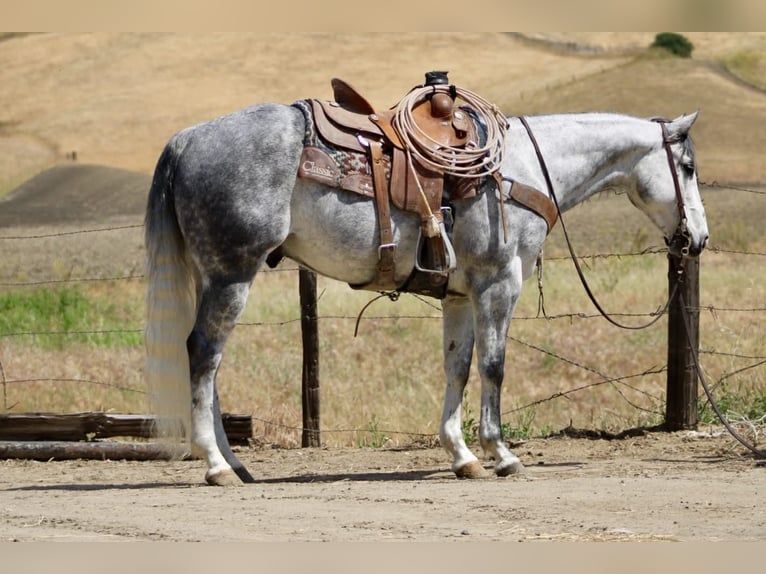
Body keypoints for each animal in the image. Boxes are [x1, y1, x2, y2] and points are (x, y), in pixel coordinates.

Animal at [144, 100, 709, 486]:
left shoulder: (459, 296)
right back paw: (216, 466)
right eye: (687, 168)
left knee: (209, 363)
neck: (520, 170)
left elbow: (457, 367)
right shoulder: (499, 284)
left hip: (214, 276)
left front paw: (463, 456)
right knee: (203, 354)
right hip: (232, 274)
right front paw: (502, 453)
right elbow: (493, 367)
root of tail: (186, 140)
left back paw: (235, 463)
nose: (698, 239)